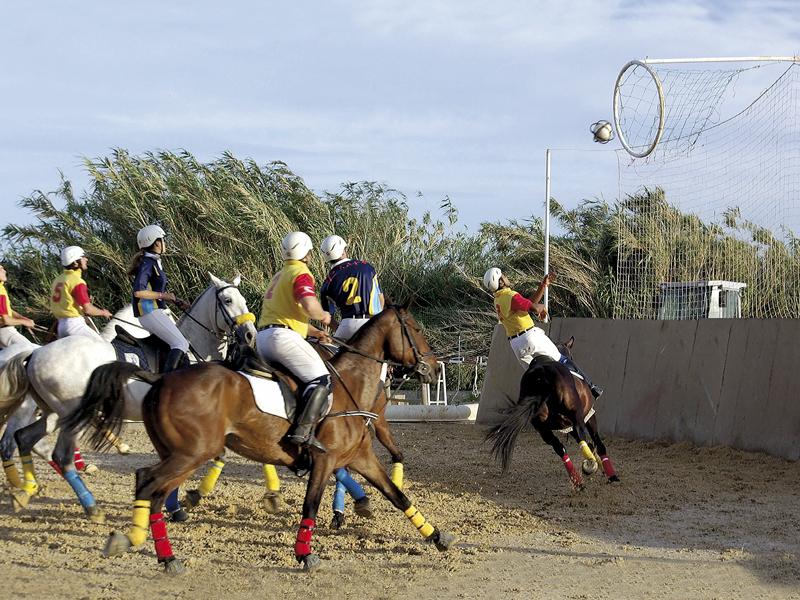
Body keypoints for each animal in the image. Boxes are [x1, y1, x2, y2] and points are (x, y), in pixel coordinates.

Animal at [0, 274, 256, 520]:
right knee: (58, 455)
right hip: (72, 415)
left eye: (243, 299)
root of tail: (34, 354)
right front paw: (182, 502)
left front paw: (177, 506)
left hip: (53, 414)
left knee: (24, 438)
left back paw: (25, 492)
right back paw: (91, 508)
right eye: (227, 300)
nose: (250, 334)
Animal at [65, 308, 454, 576]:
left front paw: (437, 537)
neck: (351, 387)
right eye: (415, 329)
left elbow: (398, 495)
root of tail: (159, 378)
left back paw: (161, 551)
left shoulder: (361, 458)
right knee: (147, 481)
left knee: (155, 490)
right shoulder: (324, 461)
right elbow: (310, 506)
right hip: (192, 453)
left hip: (181, 453)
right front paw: (304, 554)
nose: (434, 367)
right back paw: (138, 542)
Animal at [488, 336, 620, 490]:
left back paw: (578, 480)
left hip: (543, 428)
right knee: (581, 437)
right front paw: (610, 474)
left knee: (560, 448)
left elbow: (588, 443)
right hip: (576, 417)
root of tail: (541, 375)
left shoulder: (567, 426)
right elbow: (598, 443)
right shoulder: (588, 417)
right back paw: (590, 464)